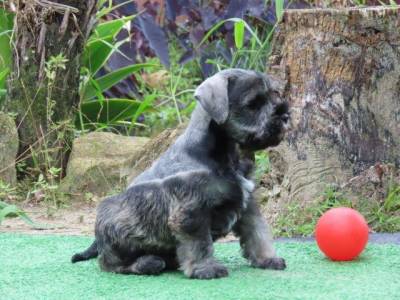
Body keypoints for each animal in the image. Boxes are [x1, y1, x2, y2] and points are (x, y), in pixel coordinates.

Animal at [72, 68, 290, 278]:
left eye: (274, 94)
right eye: (253, 103)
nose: (286, 116)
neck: (224, 156)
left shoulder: (248, 204)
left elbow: (257, 233)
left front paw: (268, 259)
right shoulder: (191, 211)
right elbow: (199, 244)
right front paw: (206, 269)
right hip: (115, 224)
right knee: (109, 263)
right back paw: (147, 263)